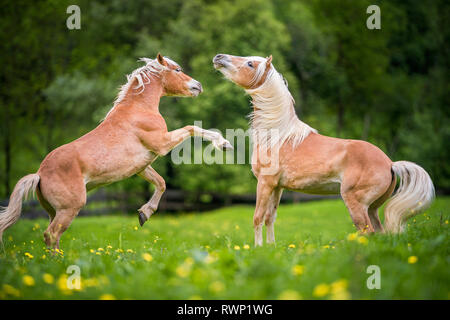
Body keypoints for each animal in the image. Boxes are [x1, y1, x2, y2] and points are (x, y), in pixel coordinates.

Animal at [0, 54, 230, 250]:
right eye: (178, 69)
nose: (198, 86)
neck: (139, 109)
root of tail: (39, 174)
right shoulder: (162, 144)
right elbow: (192, 128)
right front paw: (224, 143)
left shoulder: (142, 166)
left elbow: (161, 183)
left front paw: (144, 214)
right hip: (69, 209)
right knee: (51, 234)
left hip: (52, 211)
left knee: (51, 237)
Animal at [213, 53, 434, 246]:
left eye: (250, 64)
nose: (218, 57)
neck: (278, 135)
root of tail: (390, 163)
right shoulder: (277, 186)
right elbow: (270, 218)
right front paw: (270, 247)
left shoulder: (265, 183)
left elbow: (257, 217)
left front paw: (258, 248)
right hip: (372, 208)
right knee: (379, 232)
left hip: (356, 204)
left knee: (367, 231)